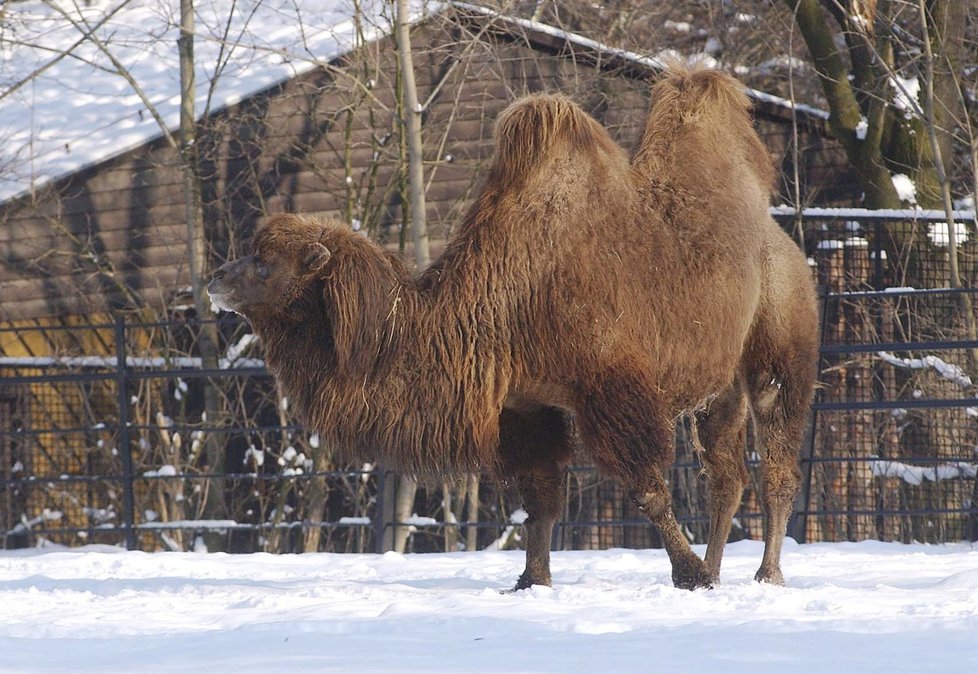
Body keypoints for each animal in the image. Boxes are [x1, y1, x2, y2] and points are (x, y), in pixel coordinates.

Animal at [210, 64, 820, 588]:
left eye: (266, 263)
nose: (216, 277)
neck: (510, 299)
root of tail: (785, 245)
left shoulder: (612, 387)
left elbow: (645, 488)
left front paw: (687, 575)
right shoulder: (528, 407)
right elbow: (540, 500)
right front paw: (532, 581)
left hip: (780, 352)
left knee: (778, 462)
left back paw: (766, 573)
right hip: (718, 387)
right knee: (726, 477)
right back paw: (721, 569)